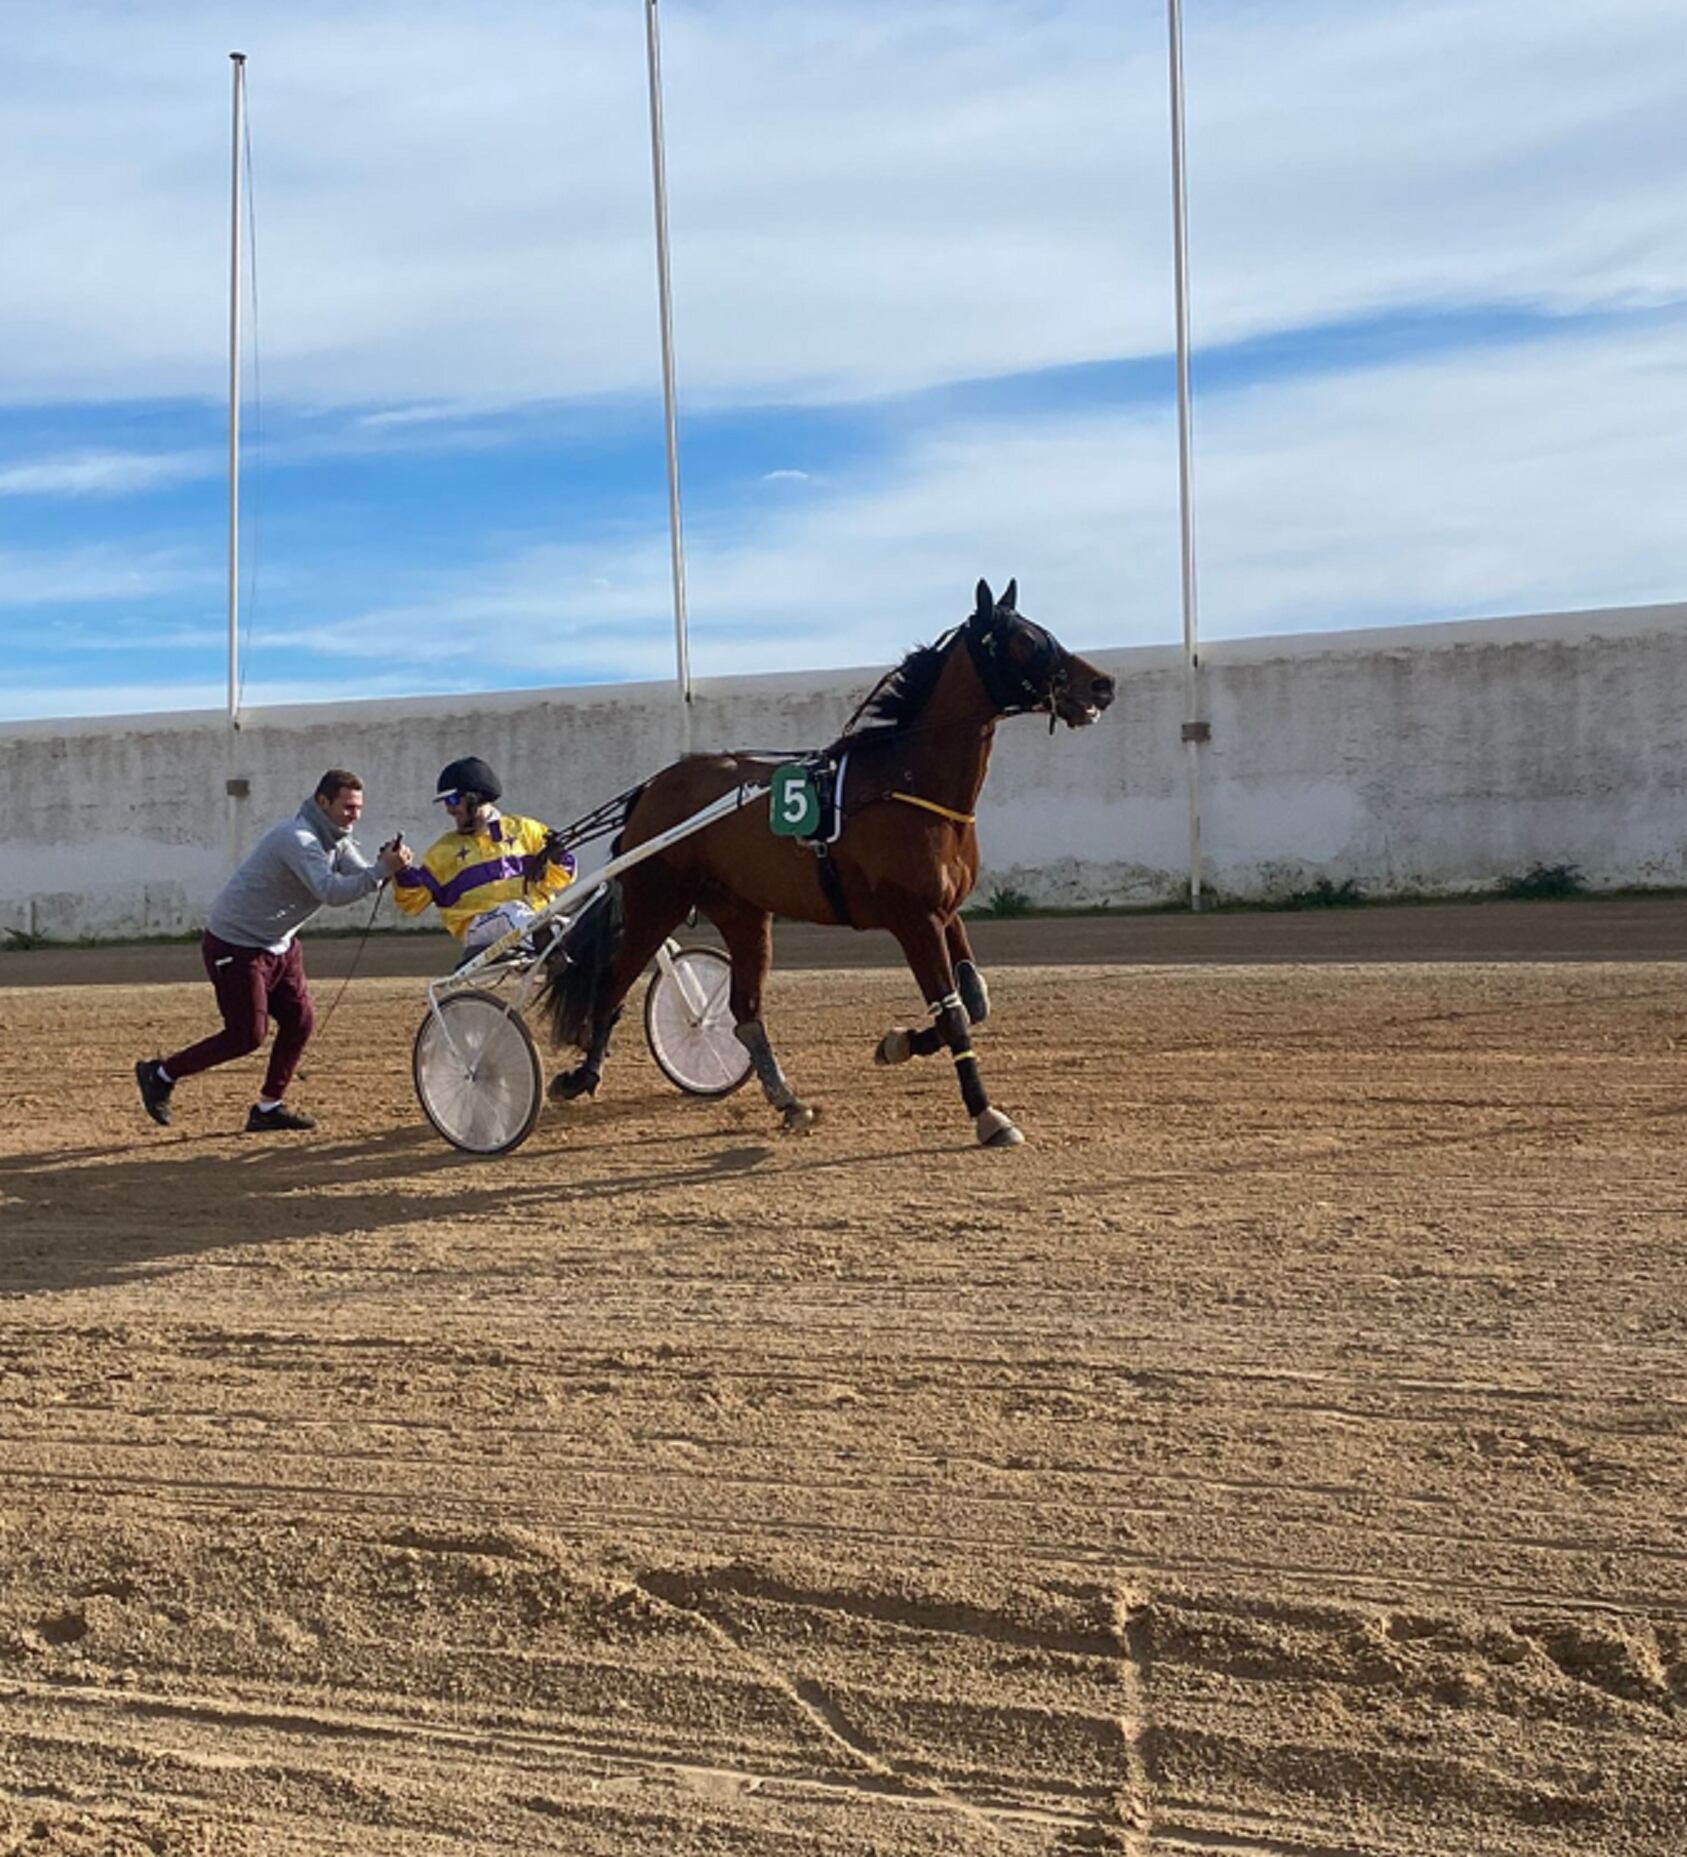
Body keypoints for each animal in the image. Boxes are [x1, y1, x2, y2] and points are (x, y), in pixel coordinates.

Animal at [542, 583, 1122, 1143]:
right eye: (1024, 639)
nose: (1103, 686)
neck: (907, 782)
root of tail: (653, 787)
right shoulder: (916, 920)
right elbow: (956, 1014)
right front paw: (986, 1113)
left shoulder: (947, 911)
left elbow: (976, 1000)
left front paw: (897, 1043)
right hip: (656, 900)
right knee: (612, 985)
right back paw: (579, 1076)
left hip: (743, 913)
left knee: (744, 1012)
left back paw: (788, 1100)